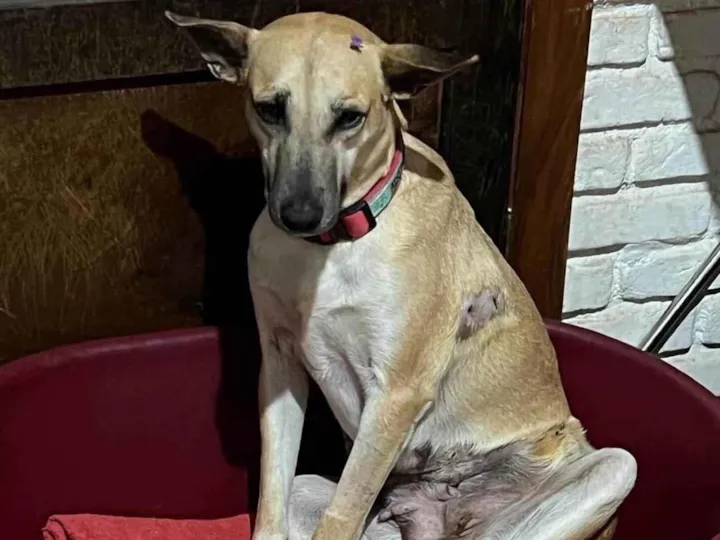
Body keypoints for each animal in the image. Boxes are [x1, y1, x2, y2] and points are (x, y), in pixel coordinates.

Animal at [167, 10, 637, 540]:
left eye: (350, 117)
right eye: (269, 109)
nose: (298, 215)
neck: (336, 244)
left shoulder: (395, 394)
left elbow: (342, 513)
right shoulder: (280, 366)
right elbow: (272, 494)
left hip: (612, 469)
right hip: (320, 491)